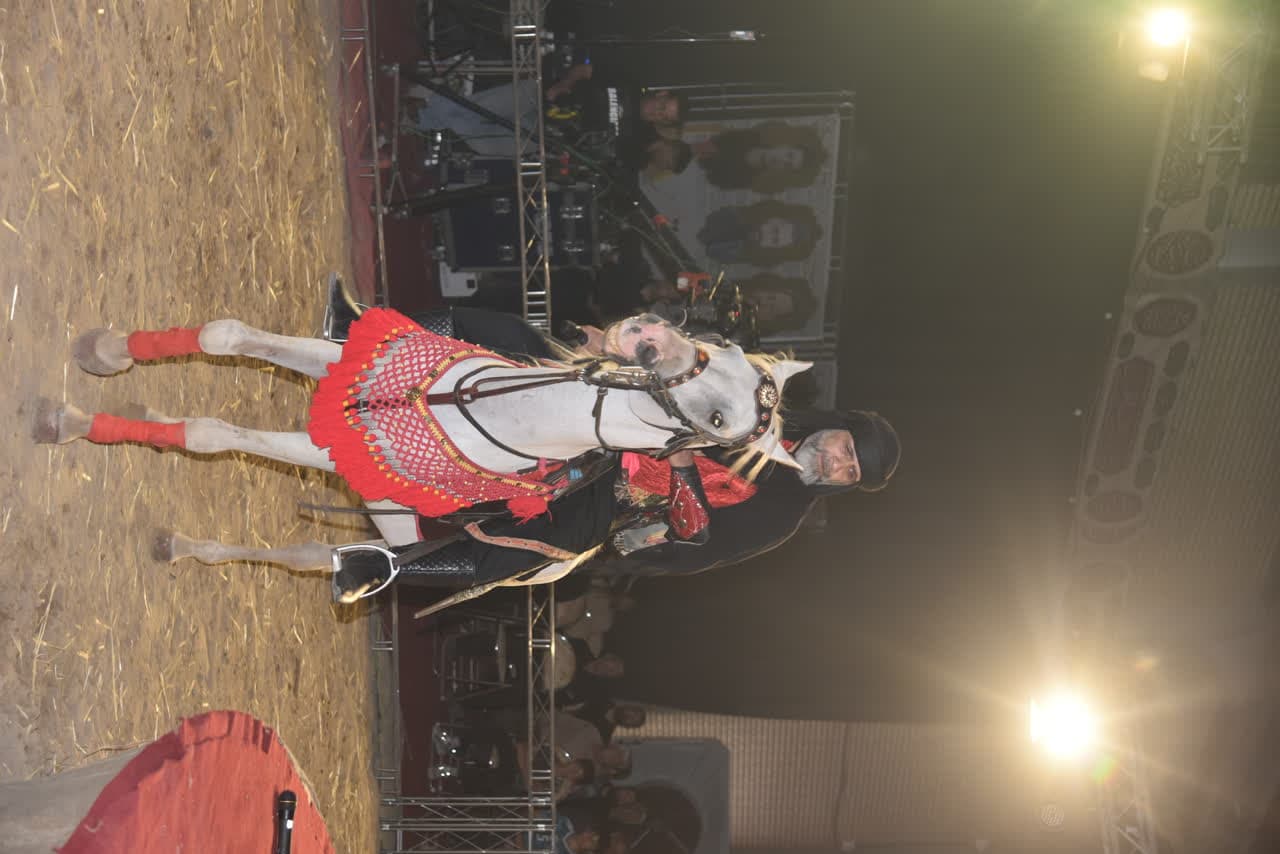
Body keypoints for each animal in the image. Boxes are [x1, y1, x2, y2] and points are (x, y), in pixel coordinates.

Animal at [34, 310, 810, 597]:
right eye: (724, 344)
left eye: (719, 420)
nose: (649, 338)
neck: (480, 406)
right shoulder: (347, 366)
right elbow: (224, 337)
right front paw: (104, 354)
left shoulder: (335, 448)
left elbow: (211, 435)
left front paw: (66, 419)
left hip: (404, 537)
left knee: (323, 558)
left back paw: (183, 546)